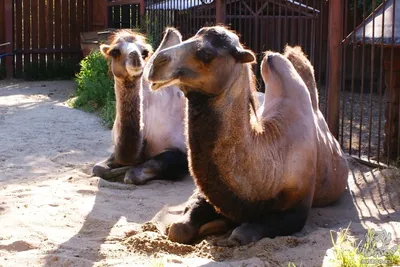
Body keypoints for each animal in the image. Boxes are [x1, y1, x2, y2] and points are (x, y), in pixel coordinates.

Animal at [92, 28, 189, 185]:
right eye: (115, 52)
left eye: (144, 52)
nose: (136, 57)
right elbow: (98, 168)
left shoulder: (181, 149)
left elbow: (132, 175)